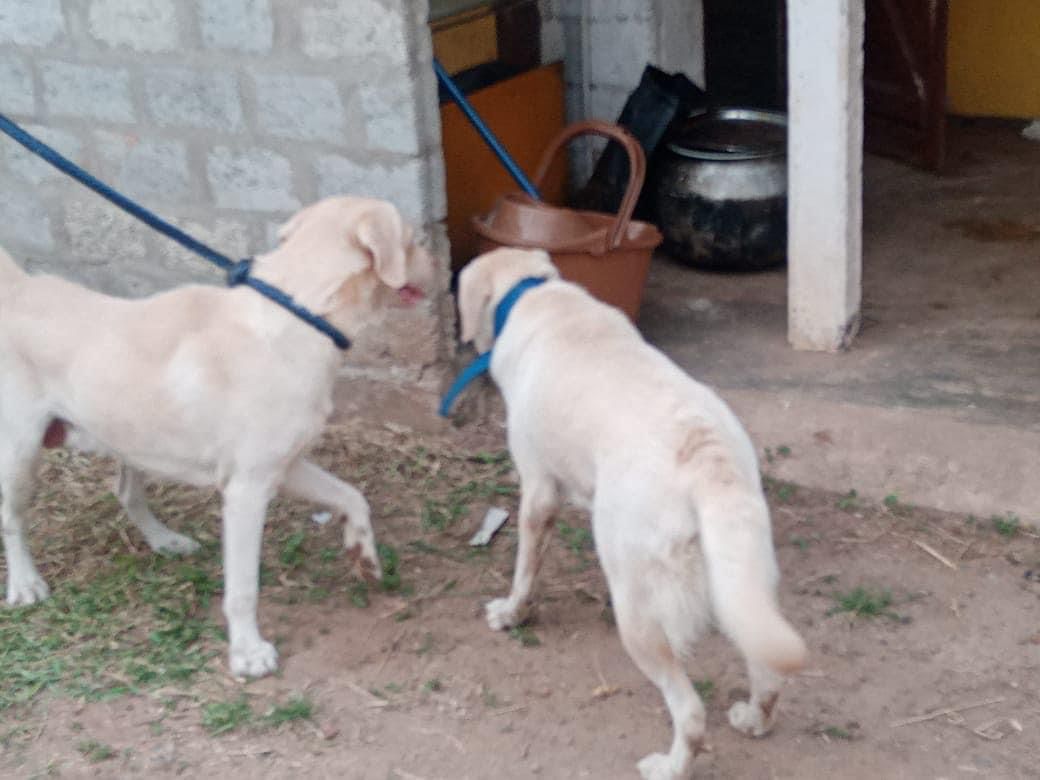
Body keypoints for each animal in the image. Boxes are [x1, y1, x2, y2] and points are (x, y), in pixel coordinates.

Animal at [0, 198, 430, 682]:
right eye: (413, 241)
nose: (437, 263)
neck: (300, 312)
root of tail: (18, 288)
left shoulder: (285, 466)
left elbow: (353, 496)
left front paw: (364, 553)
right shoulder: (246, 491)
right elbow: (242, 587)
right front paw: (247, 653)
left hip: (132, 439)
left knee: (126, 492)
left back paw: (165, 541)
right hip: (20, 451)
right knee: (10, 517)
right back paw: (25, 584)